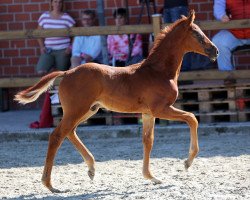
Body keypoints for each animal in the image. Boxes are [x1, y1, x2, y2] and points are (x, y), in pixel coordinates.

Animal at [14, 10, 217, 192]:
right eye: (197, 34)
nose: (215, 51)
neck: (158, 72)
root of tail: (67, 72)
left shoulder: (148, 113)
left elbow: (148, 141)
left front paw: (151, 177)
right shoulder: (161, 109)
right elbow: (192, 118)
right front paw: (187, 162)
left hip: (89, 110)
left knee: (69, 132)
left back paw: (91, 169)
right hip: (77, 110)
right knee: (57, 136)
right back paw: (50, 185)